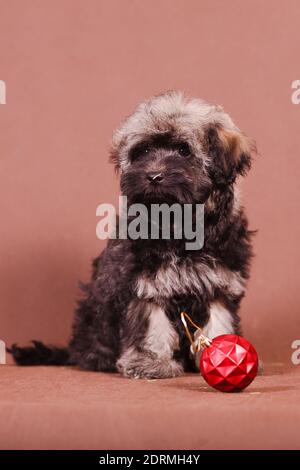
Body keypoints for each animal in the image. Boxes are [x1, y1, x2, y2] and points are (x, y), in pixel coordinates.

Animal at [9, 92, 255, 378]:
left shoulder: (221, 281)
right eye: (143, 152)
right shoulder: (145, 282)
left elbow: (219, 319)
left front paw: (223, 354)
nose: (154, 176)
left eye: (184, 150)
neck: (178, 223)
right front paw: (150, 361)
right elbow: (151, 325)